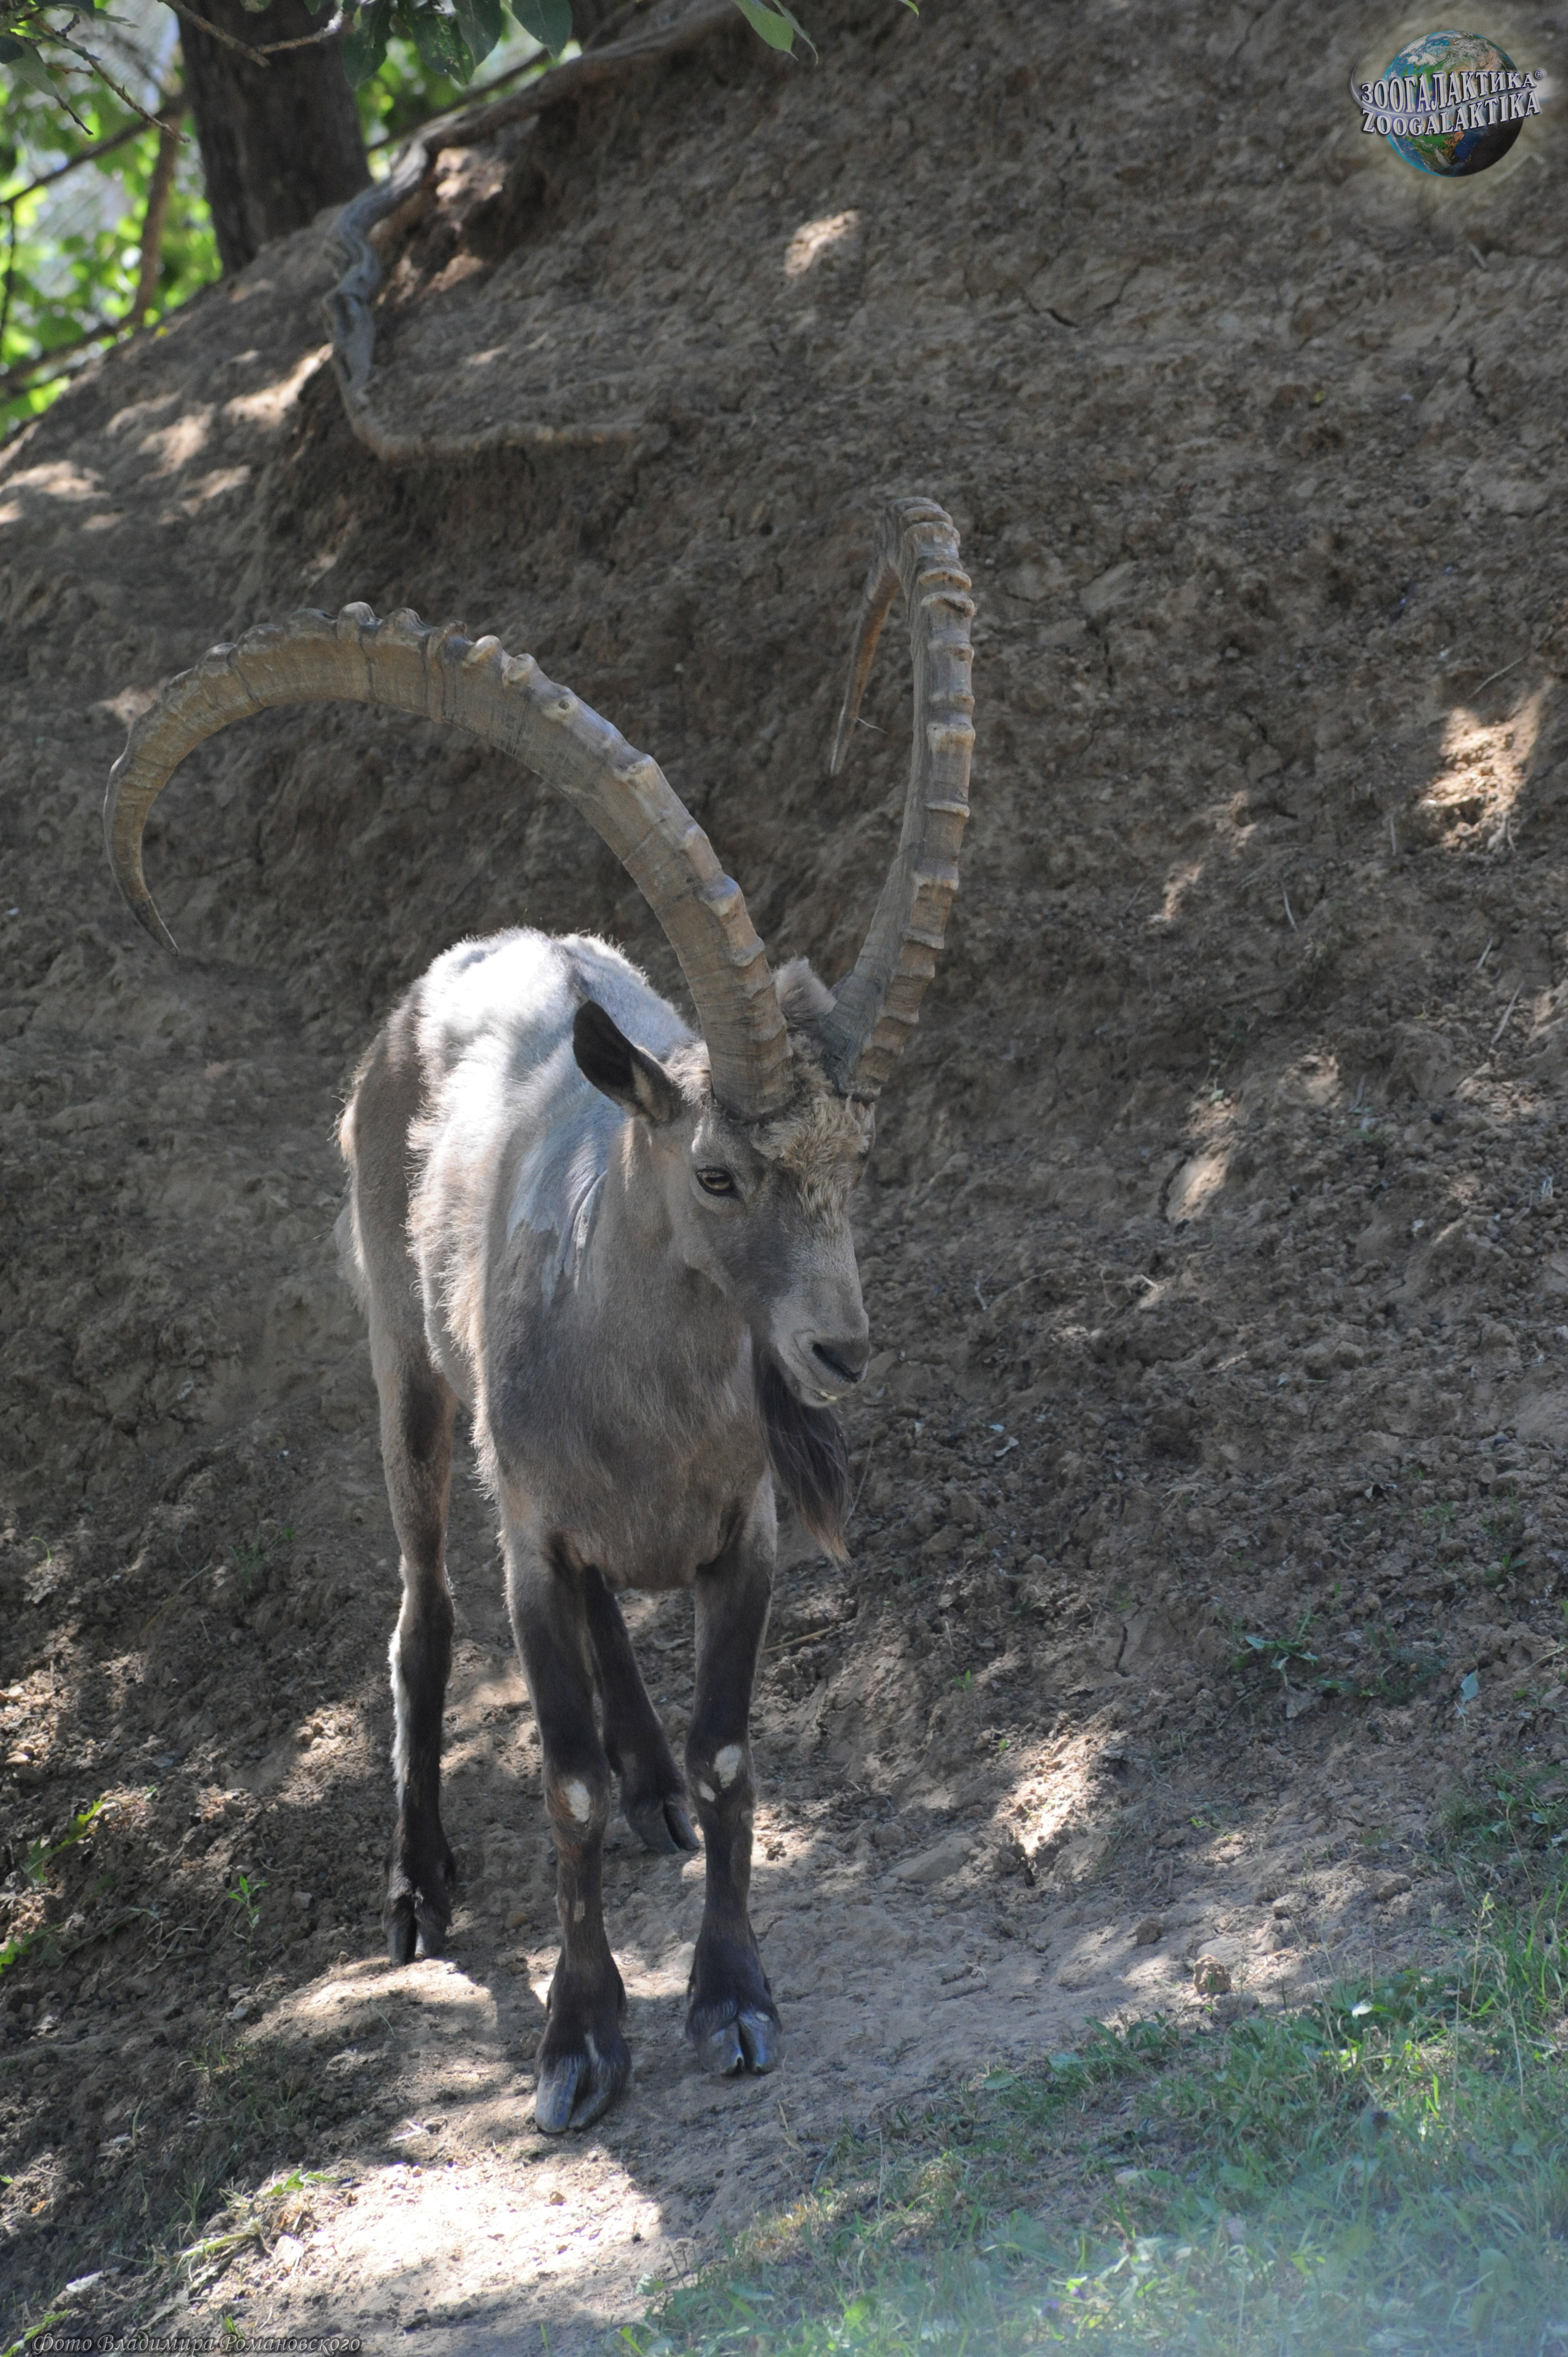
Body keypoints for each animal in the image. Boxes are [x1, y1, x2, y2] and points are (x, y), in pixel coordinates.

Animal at [105, 498, 975, 2133]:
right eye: (716, 1173)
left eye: (858, 1165)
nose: (839, 1348)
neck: (650, 1413)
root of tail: (468, 954)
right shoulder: (531, 1537)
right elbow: (554, 1772)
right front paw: (580, 2039)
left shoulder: (744, 1538)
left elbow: (730, 1753)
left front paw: (731, 1996)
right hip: (408, 1370)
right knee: (422, 1608)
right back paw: (418, 1886)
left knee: (614, 1651)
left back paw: (645, 1794)